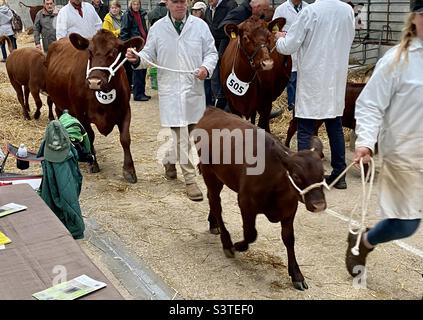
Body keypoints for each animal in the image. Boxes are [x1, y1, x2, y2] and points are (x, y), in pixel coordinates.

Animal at [45, 31, 144, 184]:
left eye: (113, 52)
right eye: (89, 52)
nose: (94, 82)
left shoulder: (125, 111)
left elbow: (125, 139)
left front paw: (129, 170)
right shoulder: (81, 113)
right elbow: (89, 135)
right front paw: (93, 162)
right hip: (59, 103)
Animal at [195, 107, 328, 290]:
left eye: (323, 174)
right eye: (296, 176)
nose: (319, 205)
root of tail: (213, 111)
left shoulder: (289, 210)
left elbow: (289, 239)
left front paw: (296, 275)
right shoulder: (245, 202)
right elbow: (251, 234)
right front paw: (238, 245)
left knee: (211, 200)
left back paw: (213, 223)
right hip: (210, 174)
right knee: (216, 203)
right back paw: (226, 242)